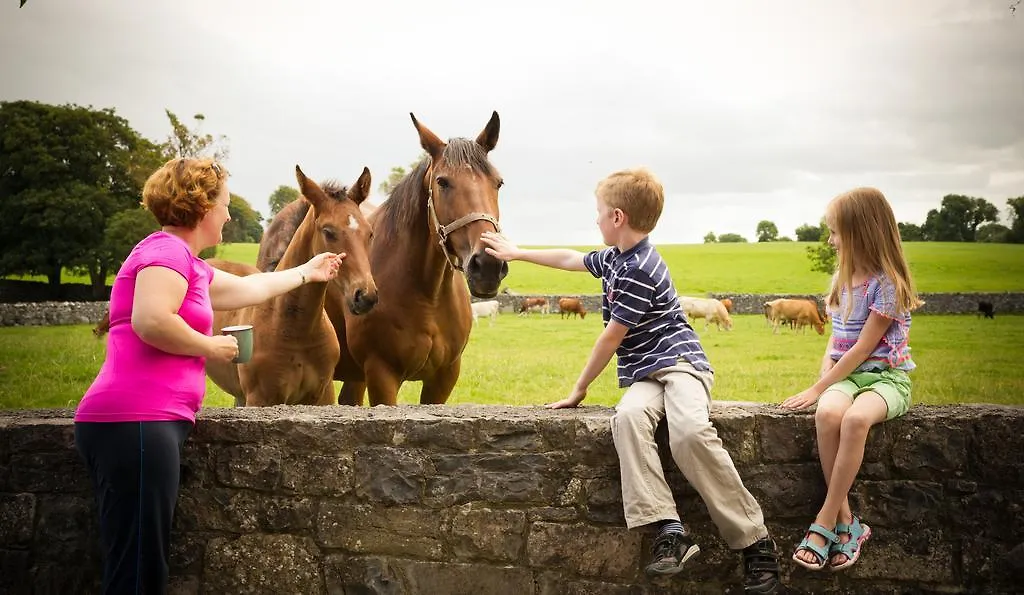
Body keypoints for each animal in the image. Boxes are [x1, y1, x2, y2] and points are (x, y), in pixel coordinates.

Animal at [202, 166, 376, 407]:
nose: (365, 296)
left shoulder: (322, 396)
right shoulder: (261, 398)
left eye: (369, 233)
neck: (296, 330)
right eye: (328, 231)